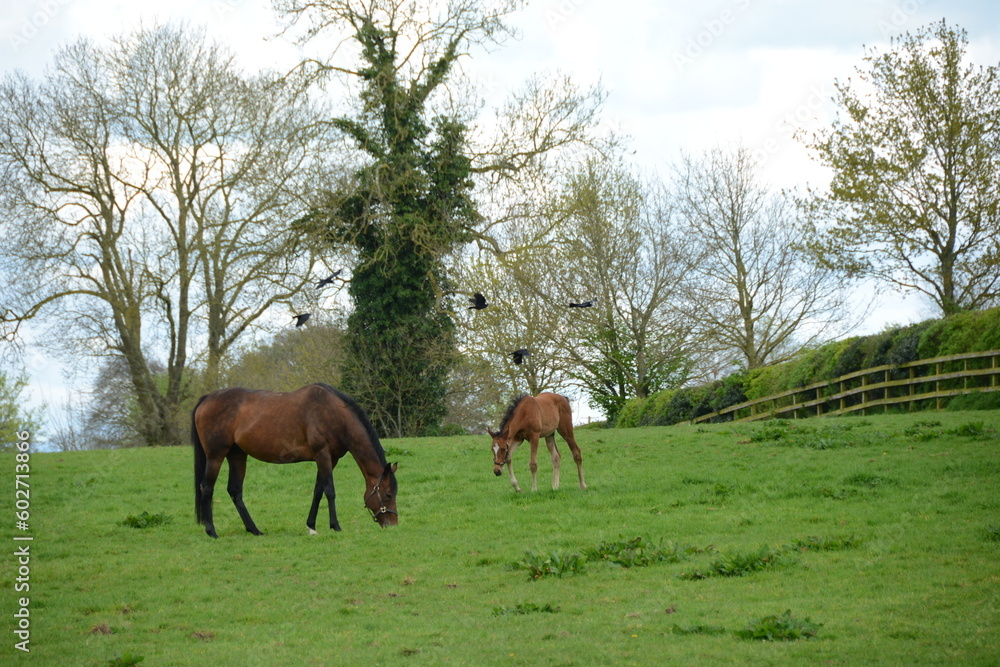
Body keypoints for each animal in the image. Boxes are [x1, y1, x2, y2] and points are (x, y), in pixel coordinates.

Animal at [191, 383, 398, 538]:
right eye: (388, 494)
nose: (393, 525)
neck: (333, 414)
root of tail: (207, 399)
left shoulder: (329, 459)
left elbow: (318, 491)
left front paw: (312, 526)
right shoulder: (323, 455)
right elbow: (330, 491)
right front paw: (335, 525)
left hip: (237, 455)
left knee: (235, 491)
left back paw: (254, 529)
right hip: (215, 456)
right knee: (207, 488)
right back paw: (212, 531)